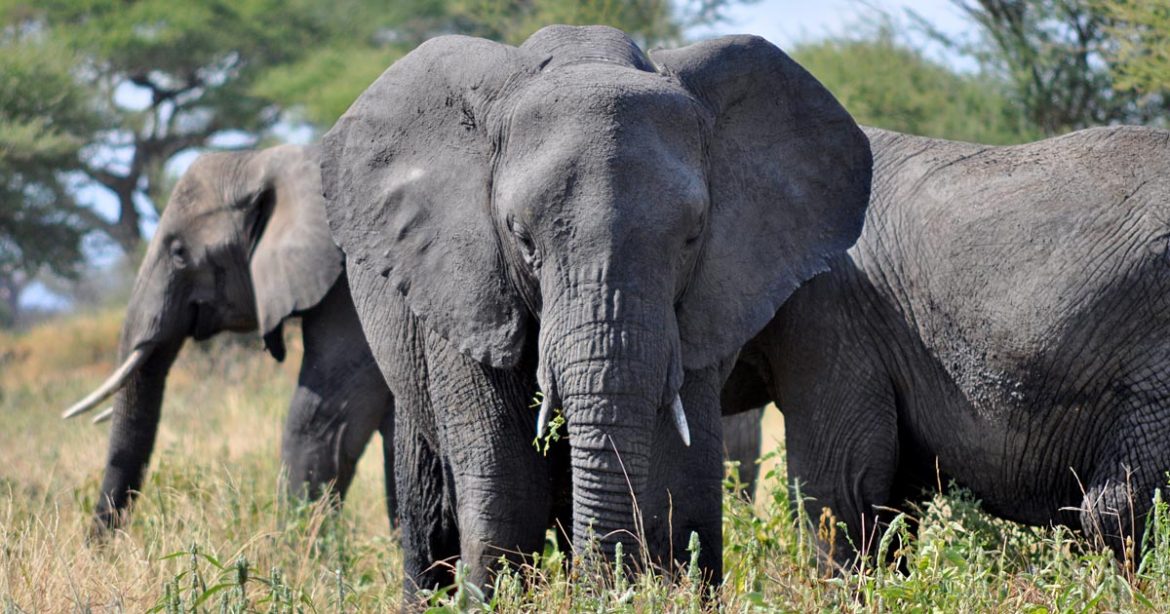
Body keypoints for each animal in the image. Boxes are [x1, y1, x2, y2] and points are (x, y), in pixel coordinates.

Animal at [62, 144, 396, 533]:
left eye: (179, 253)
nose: (94, 545)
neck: (264, 161)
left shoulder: (353, 293)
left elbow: (323, 417)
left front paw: (291, 548)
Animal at [320, 25, 872, 593]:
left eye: (692, 236)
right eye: (521, 238)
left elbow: (683, 482)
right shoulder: (465, 286)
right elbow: (509, 490)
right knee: (430, 511)